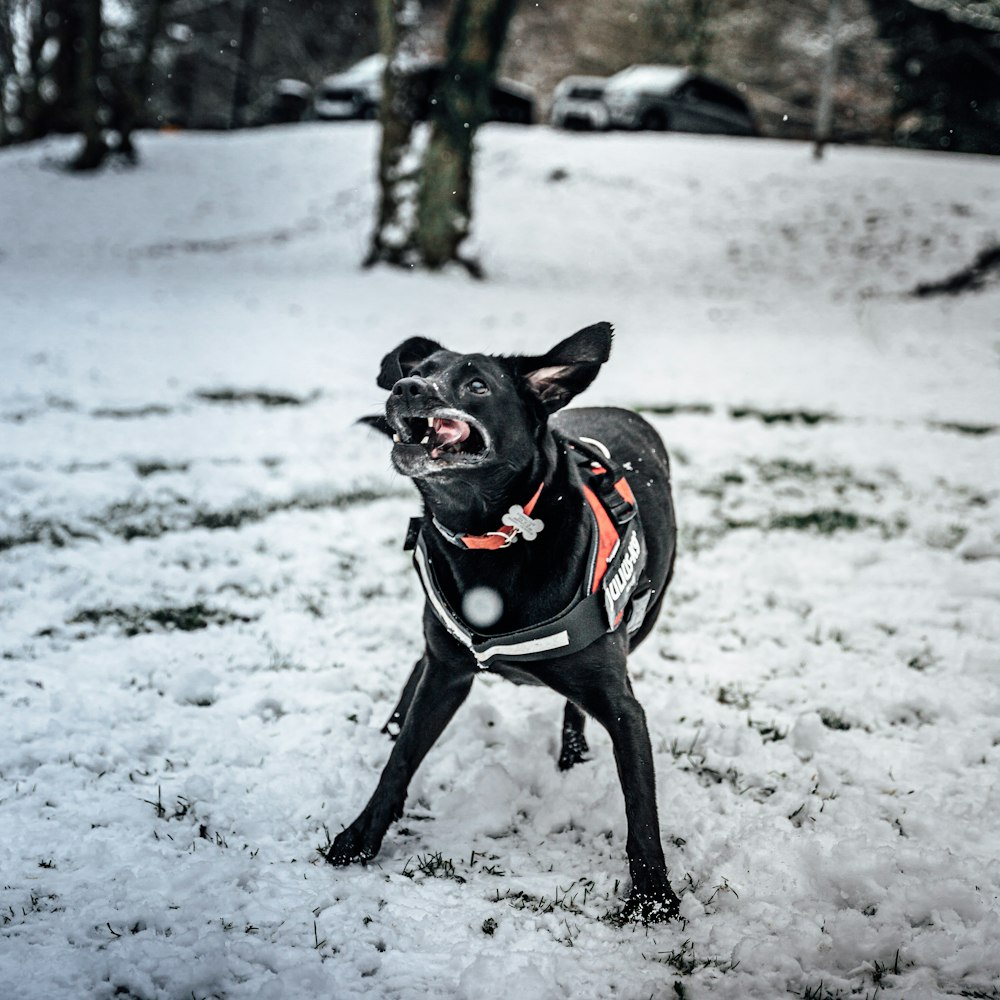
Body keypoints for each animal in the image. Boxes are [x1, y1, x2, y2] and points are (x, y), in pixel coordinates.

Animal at [328, 322, 680, 920]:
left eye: (476, 385)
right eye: (420, 369)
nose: (405, 387)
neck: (491, 538)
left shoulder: (625, 709)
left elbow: (641, 809)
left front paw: (654, 900)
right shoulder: (448, 673)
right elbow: (400, 760)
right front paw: (360, 837)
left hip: (643, 619)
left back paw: (572, 752)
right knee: (419, 666)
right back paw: (394, 719)